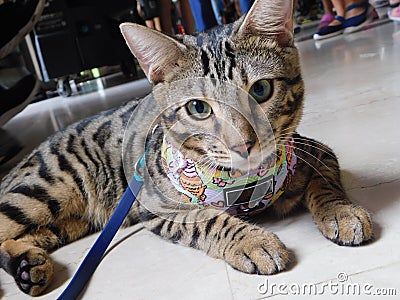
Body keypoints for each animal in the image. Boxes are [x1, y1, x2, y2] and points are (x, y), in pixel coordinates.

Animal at [0, 0, 374, 296]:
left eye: (262, 89)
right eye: (198, 108)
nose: (243, 145)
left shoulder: (312, 149)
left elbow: (325, 179)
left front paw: (341, 212)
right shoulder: (156, 204)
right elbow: (207, 219)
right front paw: (253, 241)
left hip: (69, 221)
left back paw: (28, 266)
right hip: (42, 190)